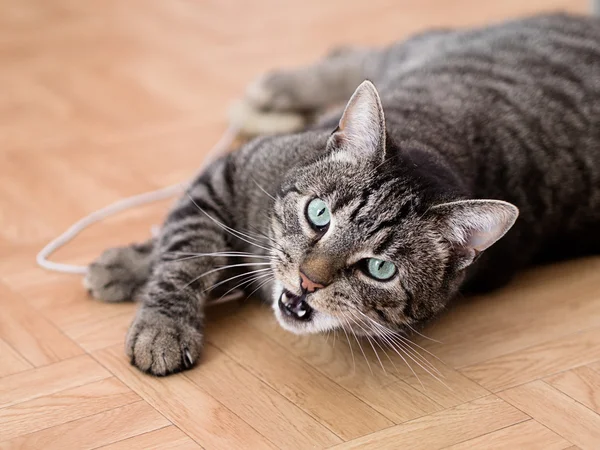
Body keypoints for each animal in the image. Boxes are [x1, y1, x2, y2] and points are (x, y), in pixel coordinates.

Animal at [83, 12, 600, 374]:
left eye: (380, 269)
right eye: (318, 214)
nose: (309, 281)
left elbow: (203, 252)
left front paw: (137, 282)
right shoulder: (226, 172)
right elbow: (188, 252)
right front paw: (156, 311)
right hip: (428, 46)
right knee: (367, 53)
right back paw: (281, 85)